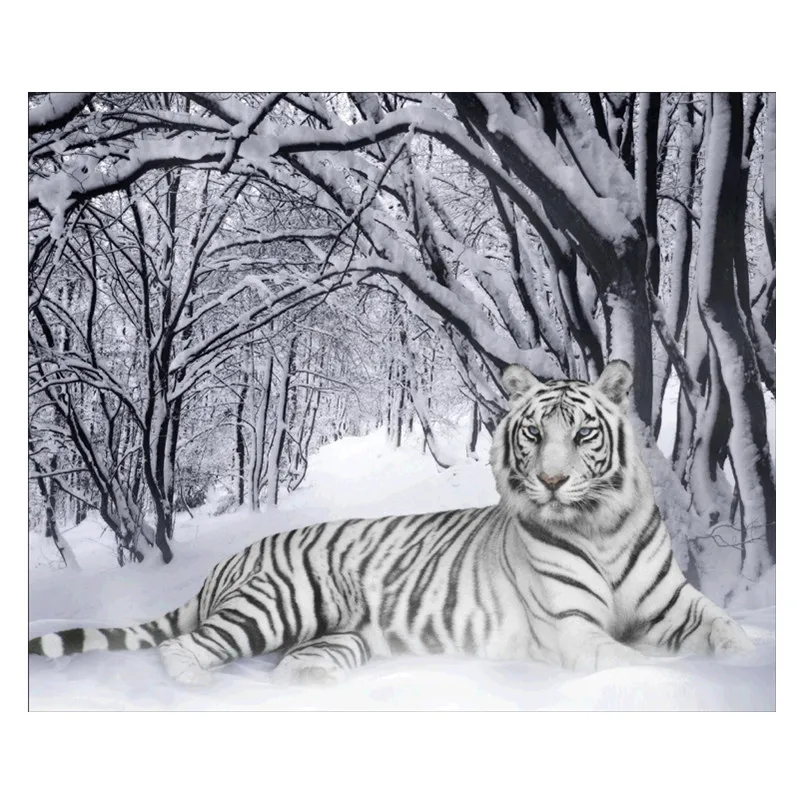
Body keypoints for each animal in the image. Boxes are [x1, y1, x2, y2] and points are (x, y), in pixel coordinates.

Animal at [29, 360, 754, 686]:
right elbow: (631, 661)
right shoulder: (573, 628)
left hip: (342, 637)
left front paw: (748, 662)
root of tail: (227, 563)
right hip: (280, 602)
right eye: (533, 434)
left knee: (290, 662)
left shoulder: (675, 603)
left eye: (582, 434)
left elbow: (727, 630)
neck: (600, 527)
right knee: (183, 650)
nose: (551, 481)